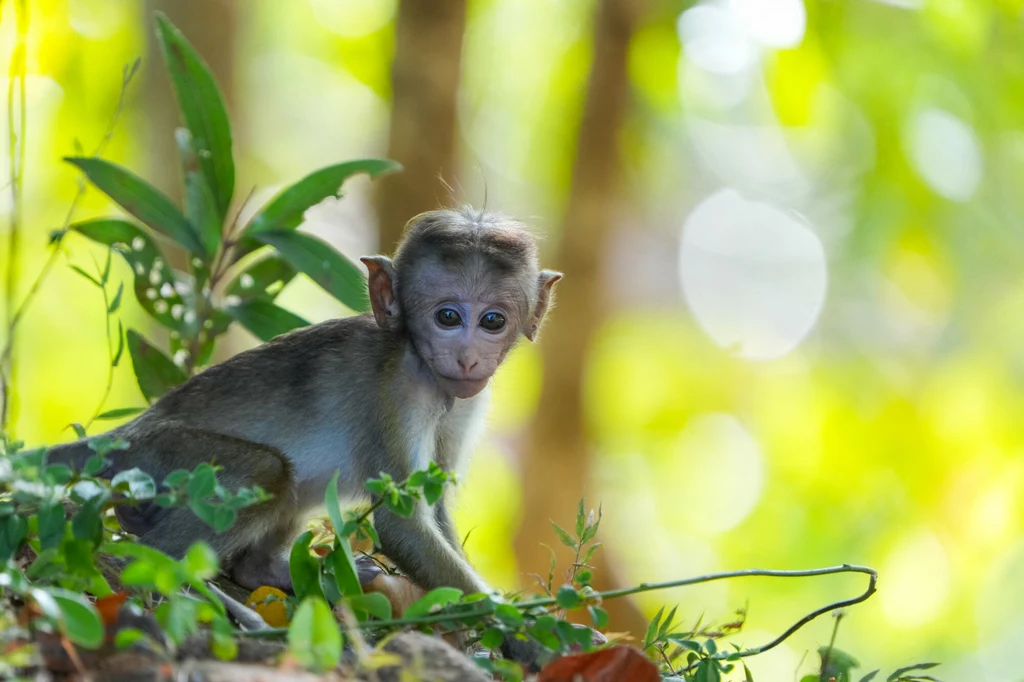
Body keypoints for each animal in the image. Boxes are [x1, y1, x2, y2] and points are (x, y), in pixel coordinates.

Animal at [46, 204, 561, 655]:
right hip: (160, 454)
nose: (468, 358)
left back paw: (270, 573)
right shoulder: (396, 394)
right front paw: (529, 637)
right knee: (266, 472)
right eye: (448, 317)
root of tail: (129, 433)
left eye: (492, 320)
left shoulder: (464, 405)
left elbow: (433, 509)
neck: (424, 369)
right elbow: (401, 525)